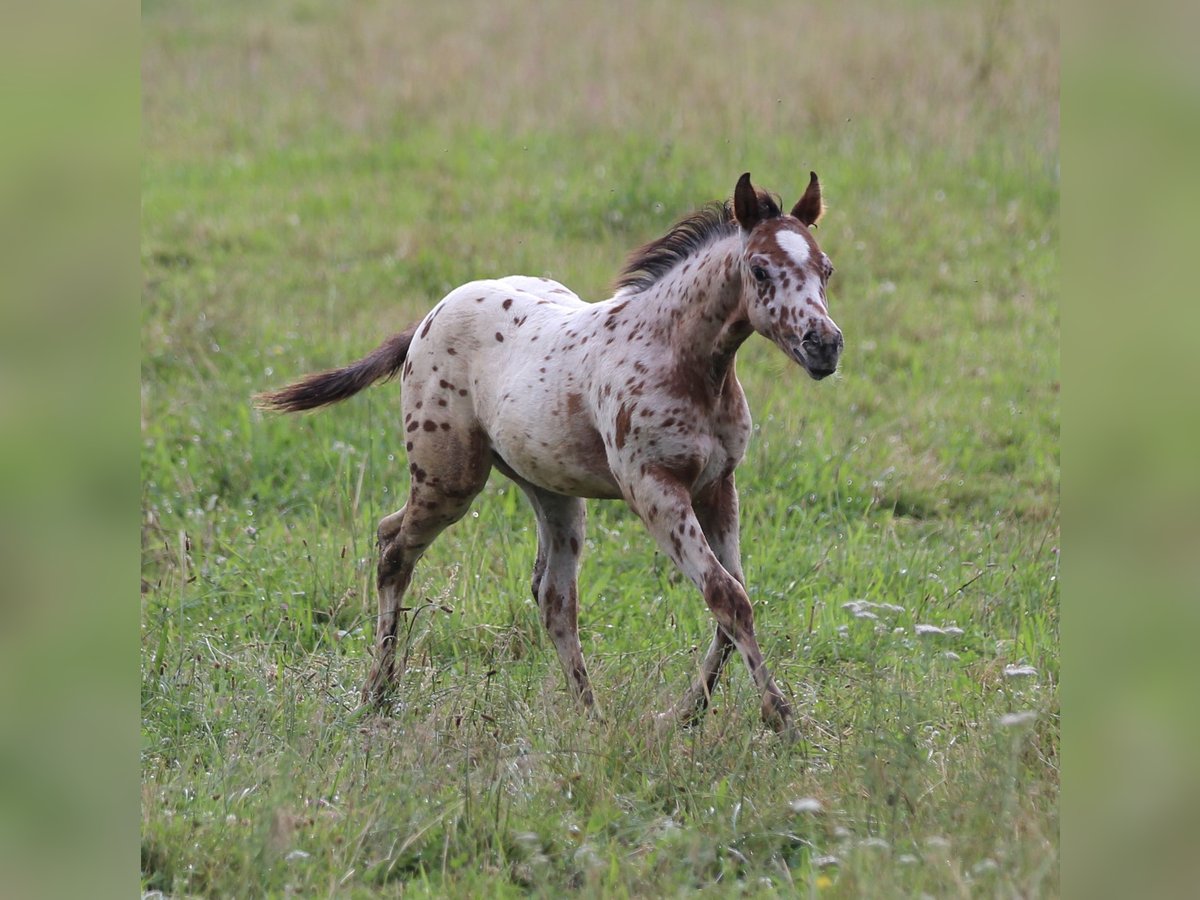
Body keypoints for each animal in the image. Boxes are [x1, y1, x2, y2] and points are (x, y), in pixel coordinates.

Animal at [260, 172, 844, 734]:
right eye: (760, 270)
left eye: (827, 269)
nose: (825, 345)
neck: (681, 357)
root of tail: (431, 314)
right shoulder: (653, 488)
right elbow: (727, 596)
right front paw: (781, 720)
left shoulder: (718, 486)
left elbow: (733, 595)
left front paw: (686, 713)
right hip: (448, 477)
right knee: (393, 549)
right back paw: (378, 693)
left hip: (551, 491)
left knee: (553, 598)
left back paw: (591, 717)